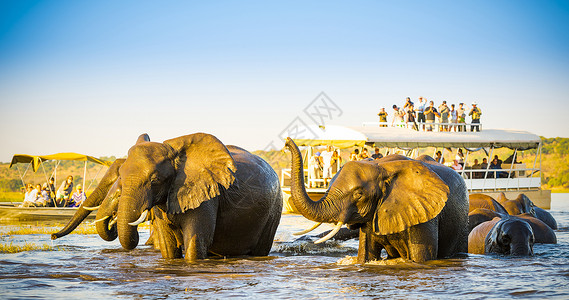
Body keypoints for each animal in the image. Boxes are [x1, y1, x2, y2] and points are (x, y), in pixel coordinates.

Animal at [282, 138, 466, 262]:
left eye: (358, 194)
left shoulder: (423, 214)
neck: (382, 167)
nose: (286, 141)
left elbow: (421, 257)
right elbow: (366, 254)